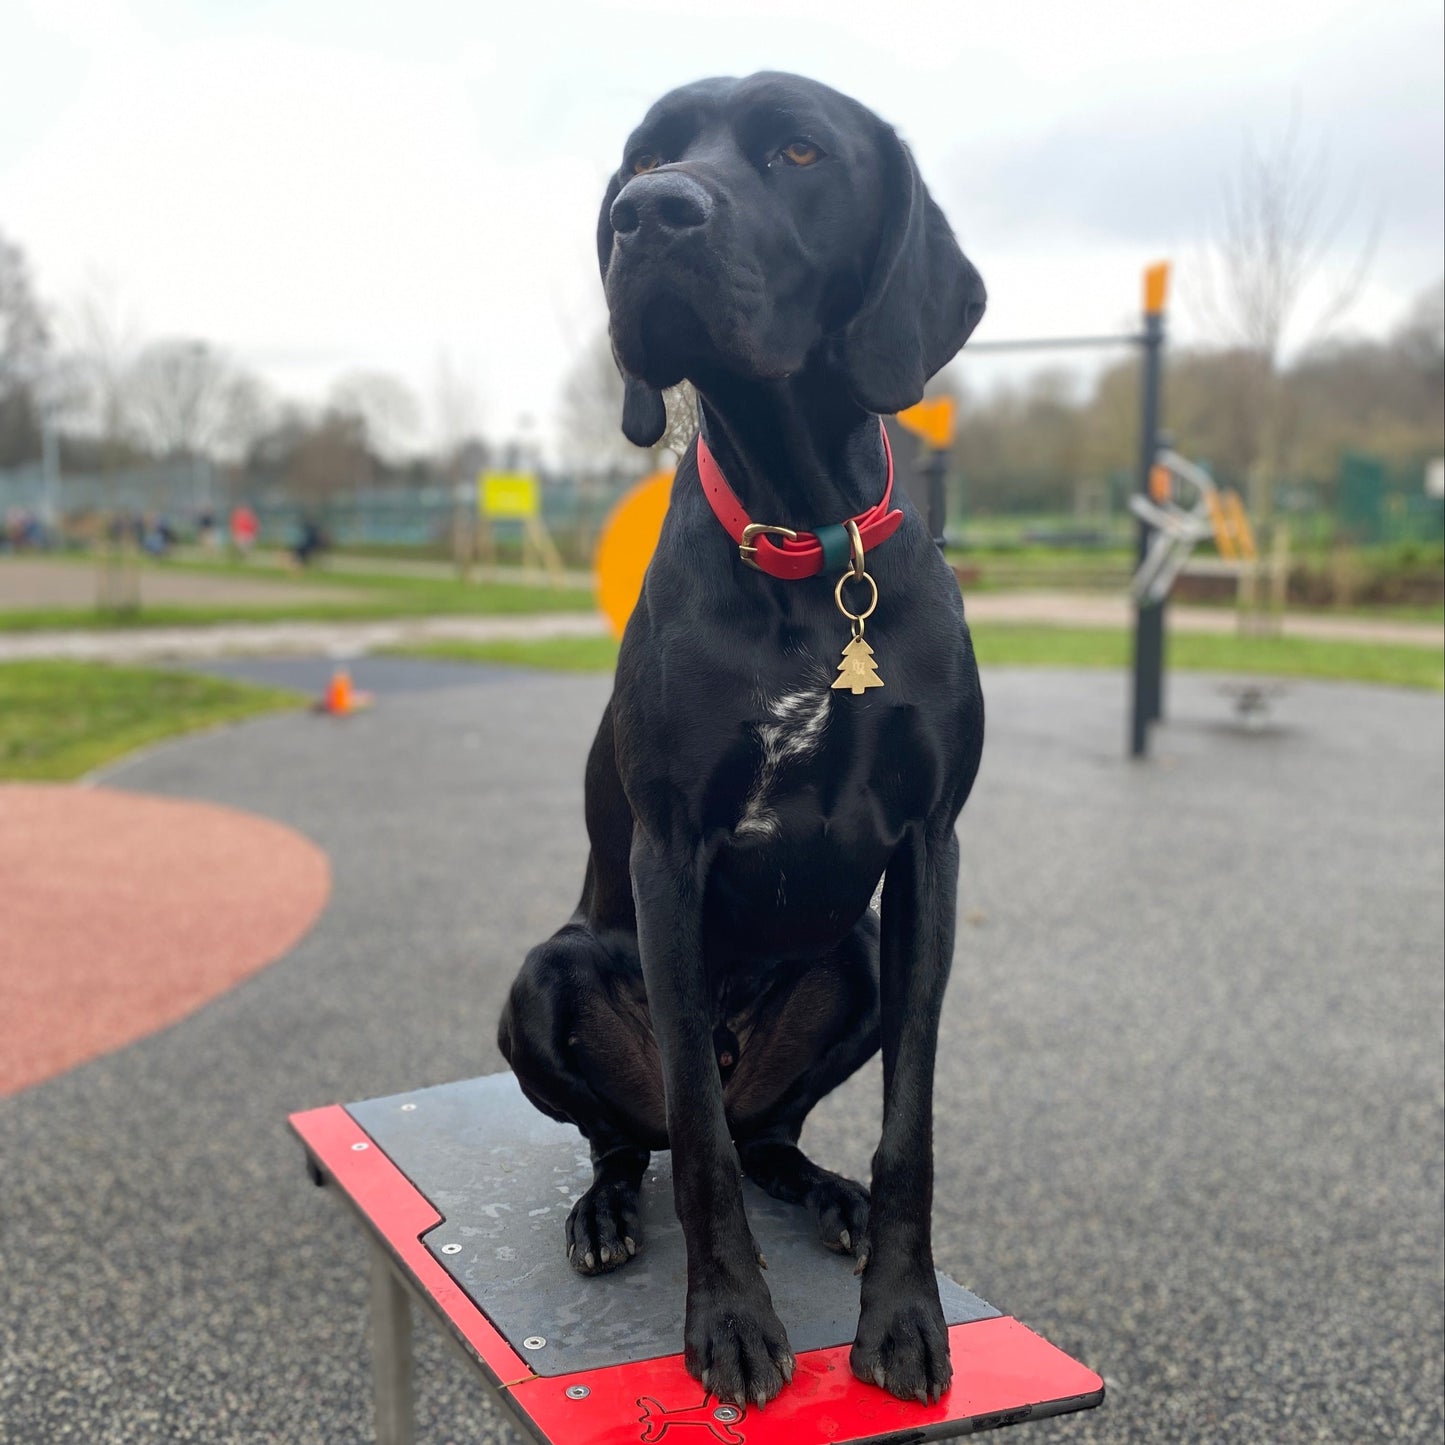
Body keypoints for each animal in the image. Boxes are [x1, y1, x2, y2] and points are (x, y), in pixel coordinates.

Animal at [497, 70, 982, 1410]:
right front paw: (727, 1321)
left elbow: (911, 1124)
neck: (808, 545)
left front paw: (904, 1315)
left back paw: (825, 1189)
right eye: (643, 159)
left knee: (763, 1133)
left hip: (854, 955)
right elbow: (701, 1153)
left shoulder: (928, 850)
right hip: (545, 974)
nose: (649, 216)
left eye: (799, 152)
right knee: (650, 1133)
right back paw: (606, 1211)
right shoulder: (669, 852)